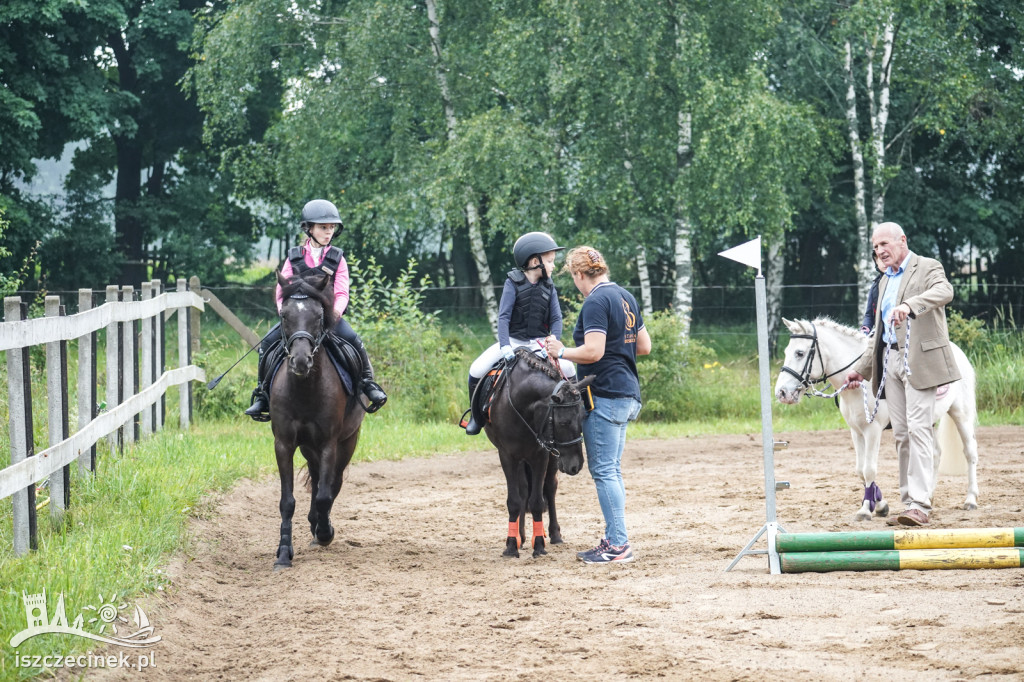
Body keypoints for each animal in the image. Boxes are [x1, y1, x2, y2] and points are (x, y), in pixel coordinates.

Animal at [270, 268, 366, 565]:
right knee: (316, 479)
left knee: (333, 483)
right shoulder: (284, 444)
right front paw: (283, 553)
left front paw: (325, 532)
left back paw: (320, 527)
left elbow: (325, 494)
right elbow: (287, 501)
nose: (301, 362)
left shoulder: (328, 444)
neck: (305, 390)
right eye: (284, 315)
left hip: (347, 442)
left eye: (319, 316)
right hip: (307, 447)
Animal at [485, 348, 598, 557]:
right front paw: (511, 545)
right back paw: (520, 536)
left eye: (582, 418)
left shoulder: (541, 455)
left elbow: (538, 500)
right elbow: (514, 500)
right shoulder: (507, 456)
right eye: (563, 422)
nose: (576, 466)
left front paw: (538, 545)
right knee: (523, 491)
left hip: (551, 459)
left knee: (550, 488)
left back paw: (553, 534)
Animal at [774, 315, 974, 518]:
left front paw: (865, 510)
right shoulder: (856, 431)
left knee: (969, 452)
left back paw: (970, 500)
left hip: (962, 414)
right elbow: (860, 470)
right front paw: (879, 504)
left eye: (799, 353)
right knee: (934, 454)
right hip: (927, 420)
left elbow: (869, 469)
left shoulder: (873, 430)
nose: (781, 393)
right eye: (787, 351)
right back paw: (927, 499)